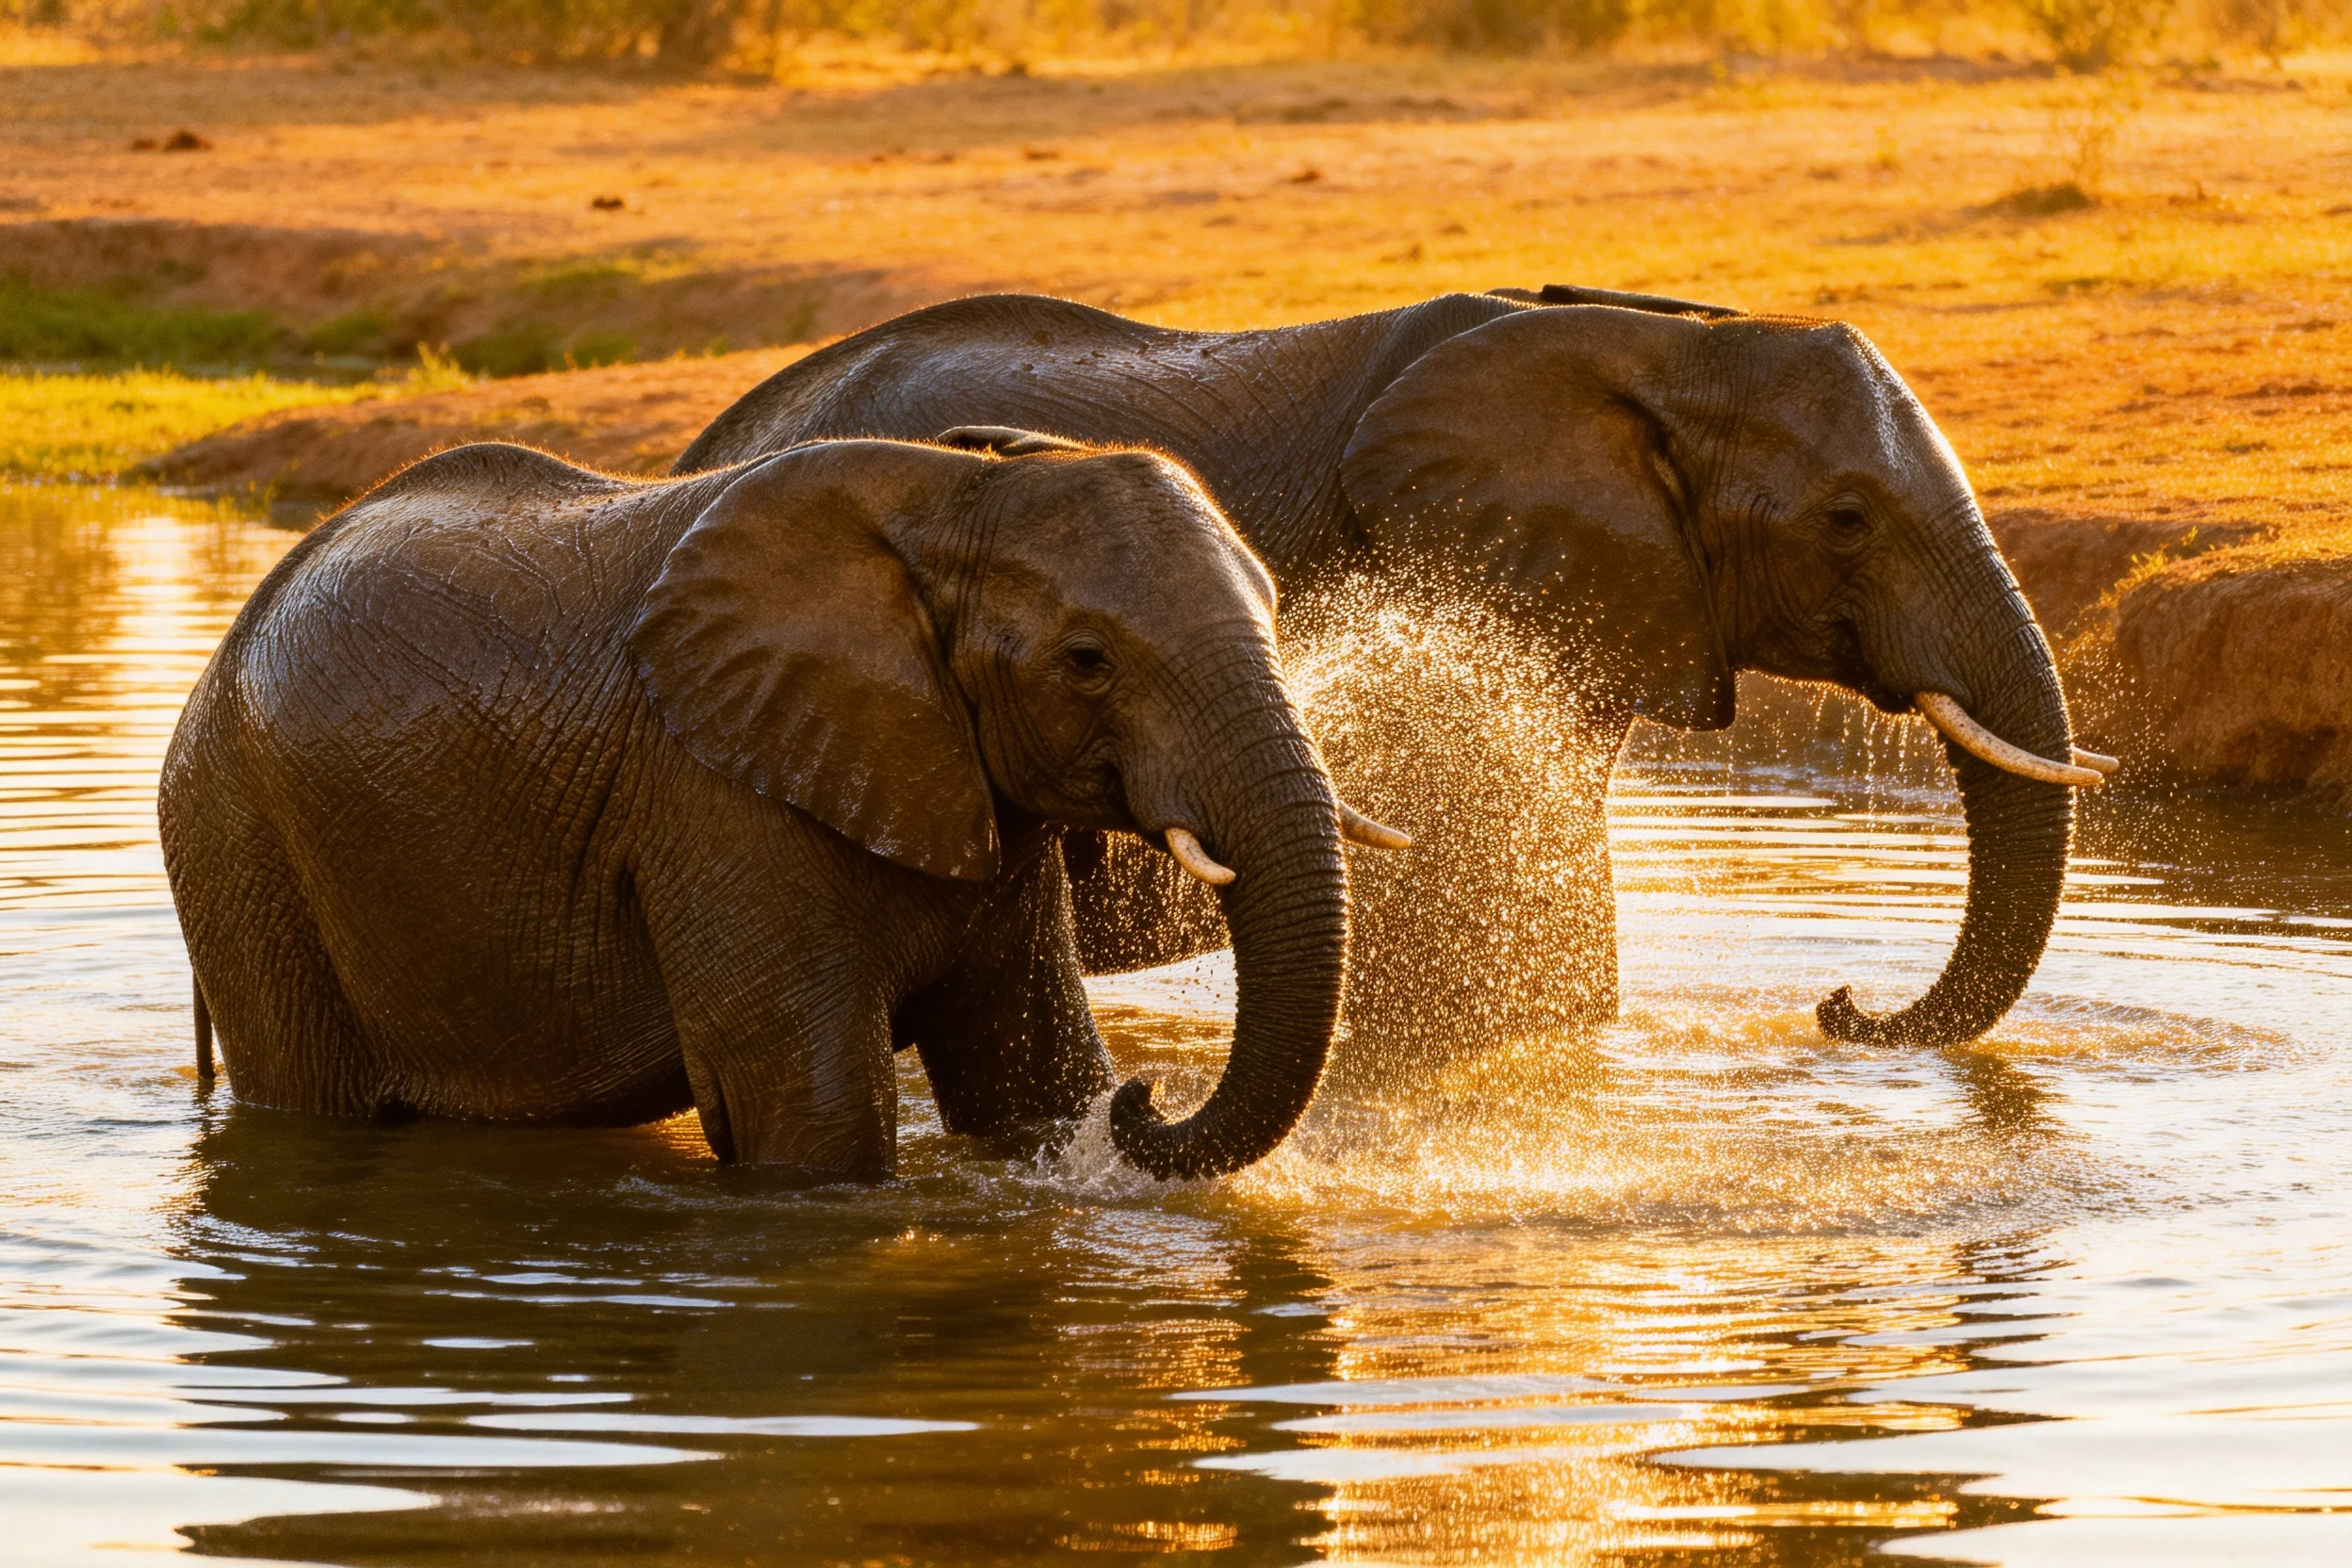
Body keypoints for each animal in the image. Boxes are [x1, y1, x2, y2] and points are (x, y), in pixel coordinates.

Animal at [160, 436, 1407, 1182]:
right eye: (1088, 661)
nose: (1149, 1094)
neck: (953, 495)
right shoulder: (715, 796)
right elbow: (815, 1120)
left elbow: (1031, 1073)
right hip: (239, 847)